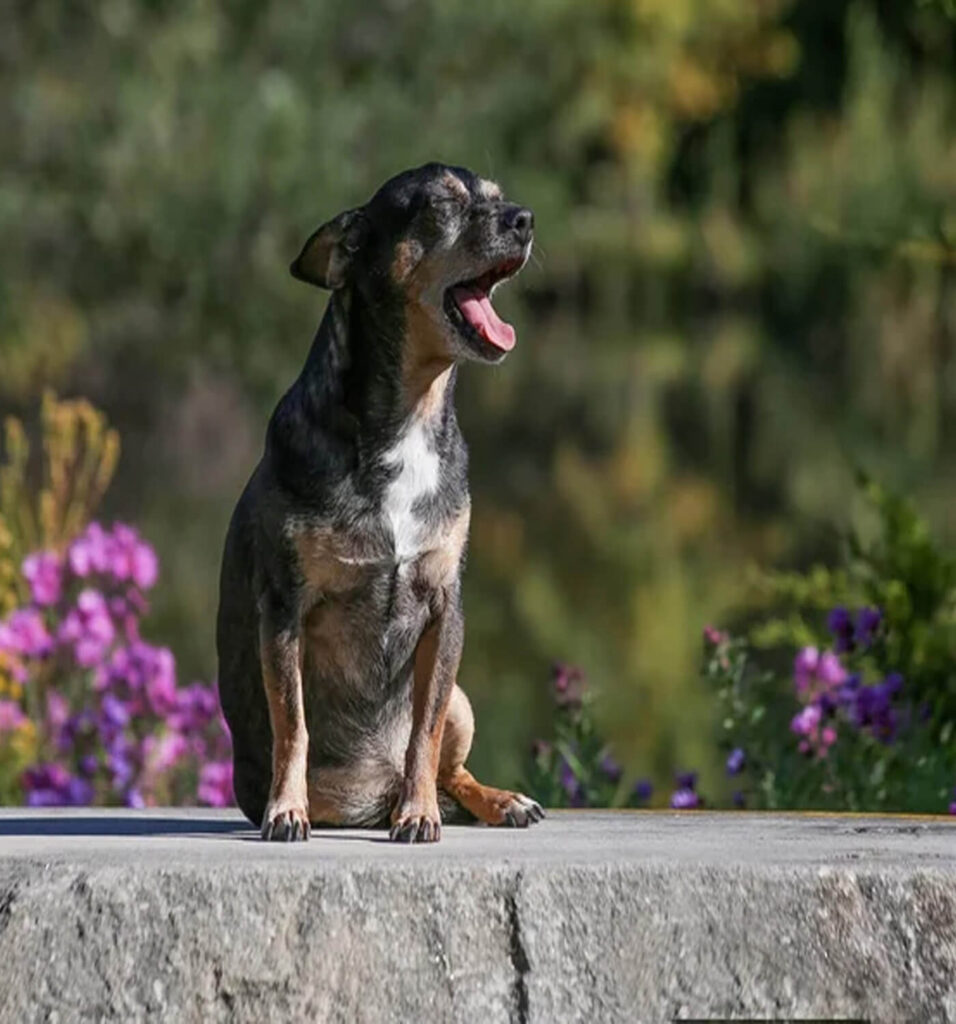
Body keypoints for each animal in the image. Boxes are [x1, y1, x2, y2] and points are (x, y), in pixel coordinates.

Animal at [218, 163, 544, 843]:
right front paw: (287, 809)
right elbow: (294, 726)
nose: (525, 219)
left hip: (464, 700)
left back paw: (490, 800)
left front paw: (418, 815)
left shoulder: (445, 611)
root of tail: (375, 792)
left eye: (498, 199)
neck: (411, 416)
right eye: (441, 205)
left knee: (451, 771)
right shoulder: (283, 612)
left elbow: (423, 732)